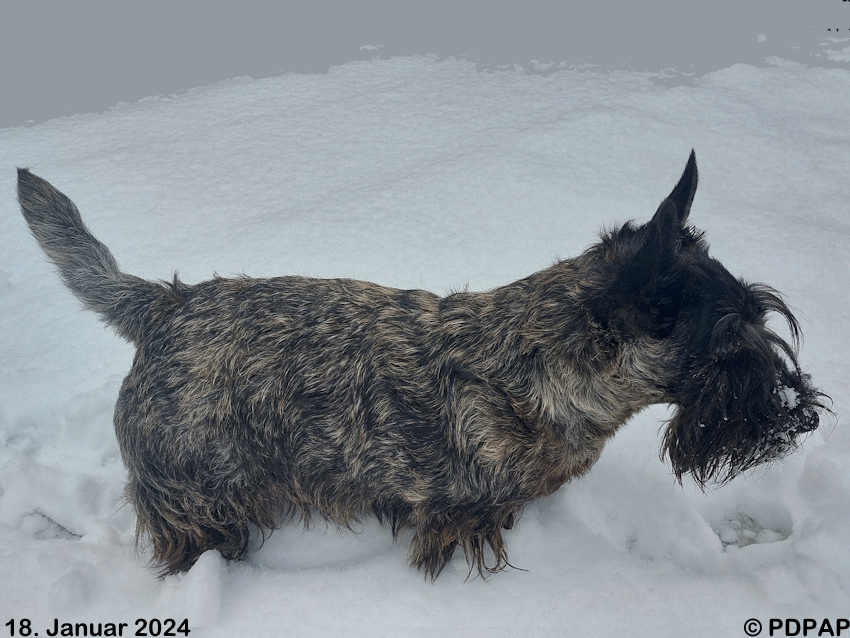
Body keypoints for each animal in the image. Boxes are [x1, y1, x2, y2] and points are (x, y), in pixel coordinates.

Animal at [16, 154, 824, 580]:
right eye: (729, 344)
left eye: (762, 315)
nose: (802, 414)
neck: (541, 365)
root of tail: (161, 306)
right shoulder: (455, 518)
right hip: (194, 502)